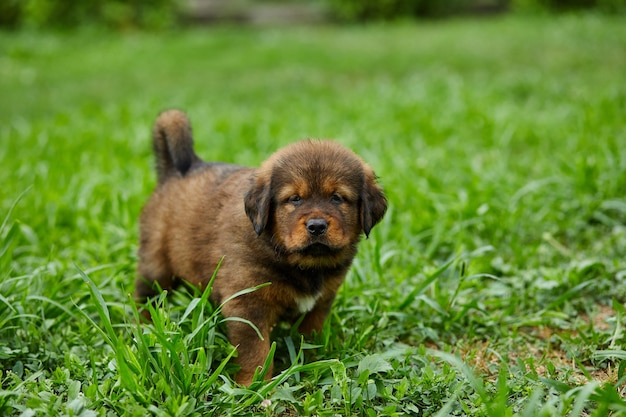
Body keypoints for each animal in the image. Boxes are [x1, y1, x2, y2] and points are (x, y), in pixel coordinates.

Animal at [136, 109, 386, 384]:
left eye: (337, 198)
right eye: (294, 199)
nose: (317, 226)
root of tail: (180, 168)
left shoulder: (319, 305)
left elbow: (311, 337)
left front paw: (315, 365)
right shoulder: (248, 304)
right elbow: (255, 352)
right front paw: (255, 386)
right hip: (156, 265)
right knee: (146, 296)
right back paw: (144, 328)